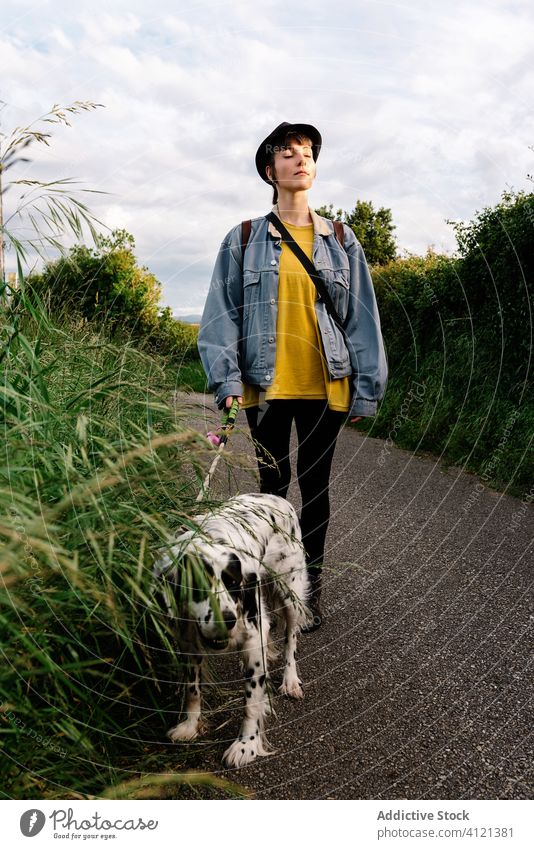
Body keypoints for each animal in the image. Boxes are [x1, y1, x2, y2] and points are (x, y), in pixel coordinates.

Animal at [153, 490, 312, 768]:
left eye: (233, 583)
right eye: (197, 584)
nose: (227, 620)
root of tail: (277, 498)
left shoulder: (253, 636)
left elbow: (251, 701)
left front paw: (246, 745)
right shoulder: (188, 642)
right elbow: (192, 689)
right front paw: (190, 725)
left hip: (290, 592)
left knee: (291, 639)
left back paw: (290, 680)